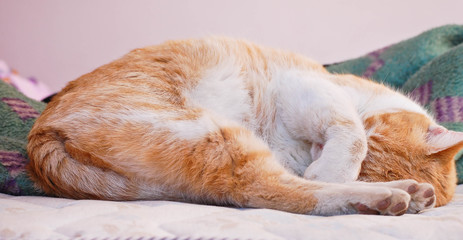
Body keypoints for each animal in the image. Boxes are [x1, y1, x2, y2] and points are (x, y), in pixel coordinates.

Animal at [26, 37, 463, 216]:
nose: (316, 154)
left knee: (281, 190)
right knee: (269, 190)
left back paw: (405, 193)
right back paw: (389, 196)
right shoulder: (307, 88)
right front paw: (337, 166)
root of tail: (42, 135)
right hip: (213, 135)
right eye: (372, 146)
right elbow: (349, 131)